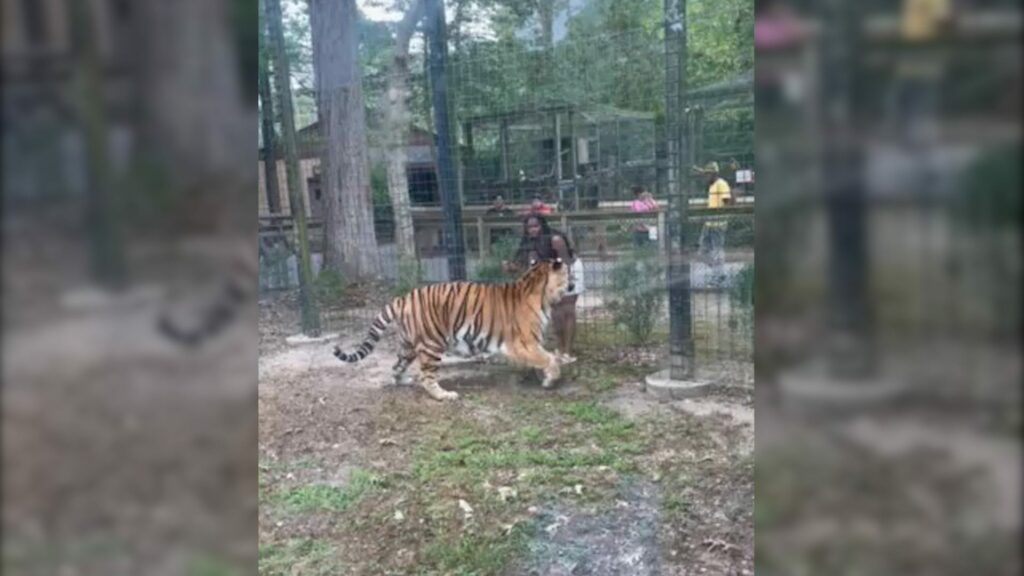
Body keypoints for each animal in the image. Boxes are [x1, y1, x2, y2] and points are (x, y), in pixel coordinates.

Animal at [335, 256, 577, 399]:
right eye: (568, 273)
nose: (574, 283)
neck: (541, 292)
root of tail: (403, 298)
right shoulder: (522, 342)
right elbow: (549, 358)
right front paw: (550, 379)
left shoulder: (529, 344)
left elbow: (544, 358)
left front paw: (542, 376)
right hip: (432, 344)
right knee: (426, 376)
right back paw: (444, 395)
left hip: (408, 346)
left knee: (397, 367)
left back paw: (404, 381)